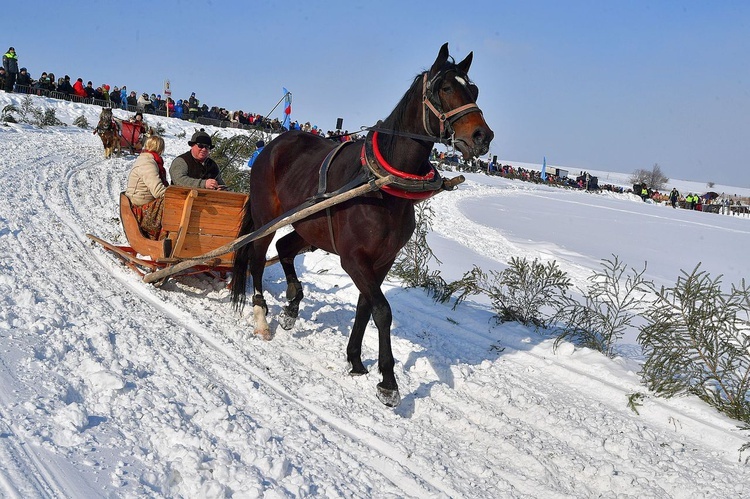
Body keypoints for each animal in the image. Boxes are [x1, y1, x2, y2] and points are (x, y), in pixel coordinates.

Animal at [232, 44, 496, 406]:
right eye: (444, 88)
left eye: (475, 89)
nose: (482, 136)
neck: (381, 183)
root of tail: (273, 144)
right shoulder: (354, 258)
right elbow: (382, 310)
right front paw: (388, 381)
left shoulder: (382, 260)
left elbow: (364, 307)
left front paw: (355, 360)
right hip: (266, 218)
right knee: (257, 258)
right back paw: (261, 316)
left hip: (308, 227)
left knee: (284, 248)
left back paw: (293, 304)